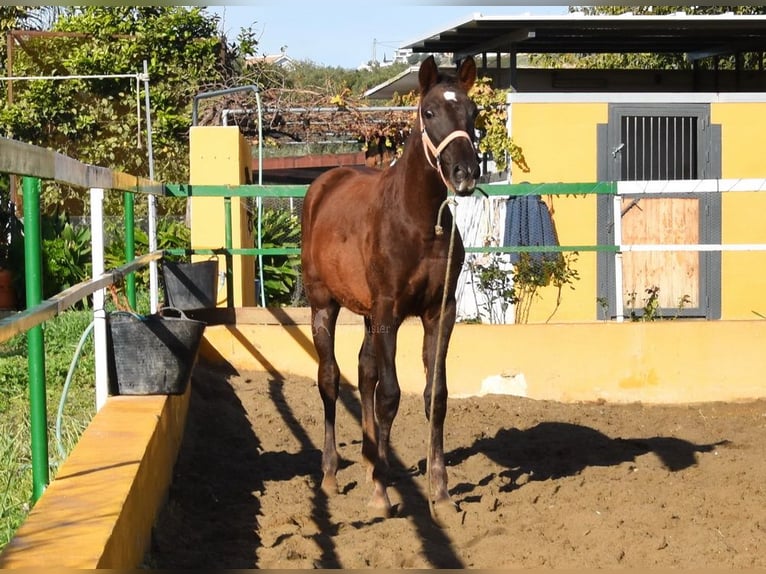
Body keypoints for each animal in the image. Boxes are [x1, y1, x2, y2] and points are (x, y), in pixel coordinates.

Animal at [300, 56, 480, 520]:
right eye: (429, 112)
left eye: (473, 113)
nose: (465, 173)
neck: (418, 223)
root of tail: (323, 184)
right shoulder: (388, 312)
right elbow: (390, 395)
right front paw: (381, 495)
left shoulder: (440, 312)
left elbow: (435, 395)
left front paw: (441, 493)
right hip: (324, 305)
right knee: (330, 379)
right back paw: (332, 473)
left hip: (366, 315)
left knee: (364, 373)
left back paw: (370, 463)